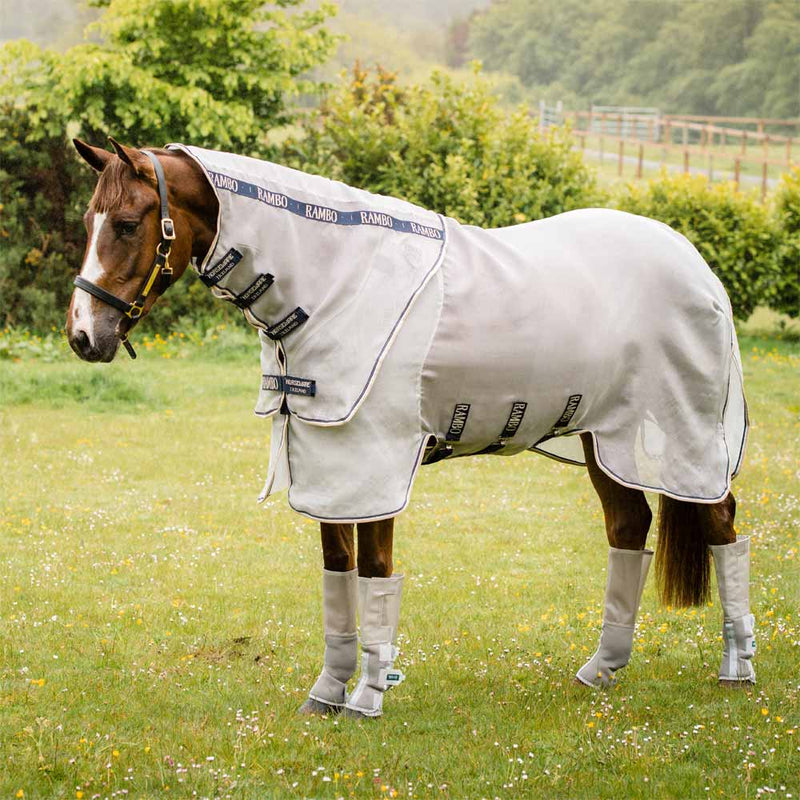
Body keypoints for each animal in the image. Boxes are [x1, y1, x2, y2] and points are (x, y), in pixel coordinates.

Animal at [66, 137, 755, 719]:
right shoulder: (330, 466)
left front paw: (367, 698)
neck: (335, 282)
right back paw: (601, 670)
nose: (83, 336)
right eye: (89, 223)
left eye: (127, 224)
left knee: (722, 524)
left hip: (687, 432)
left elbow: (375, 572)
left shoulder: (376, 464)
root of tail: (696, 266)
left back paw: (736, 671)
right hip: (602, 439)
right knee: (629, 528)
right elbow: (338, 571)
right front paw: (327, 694)